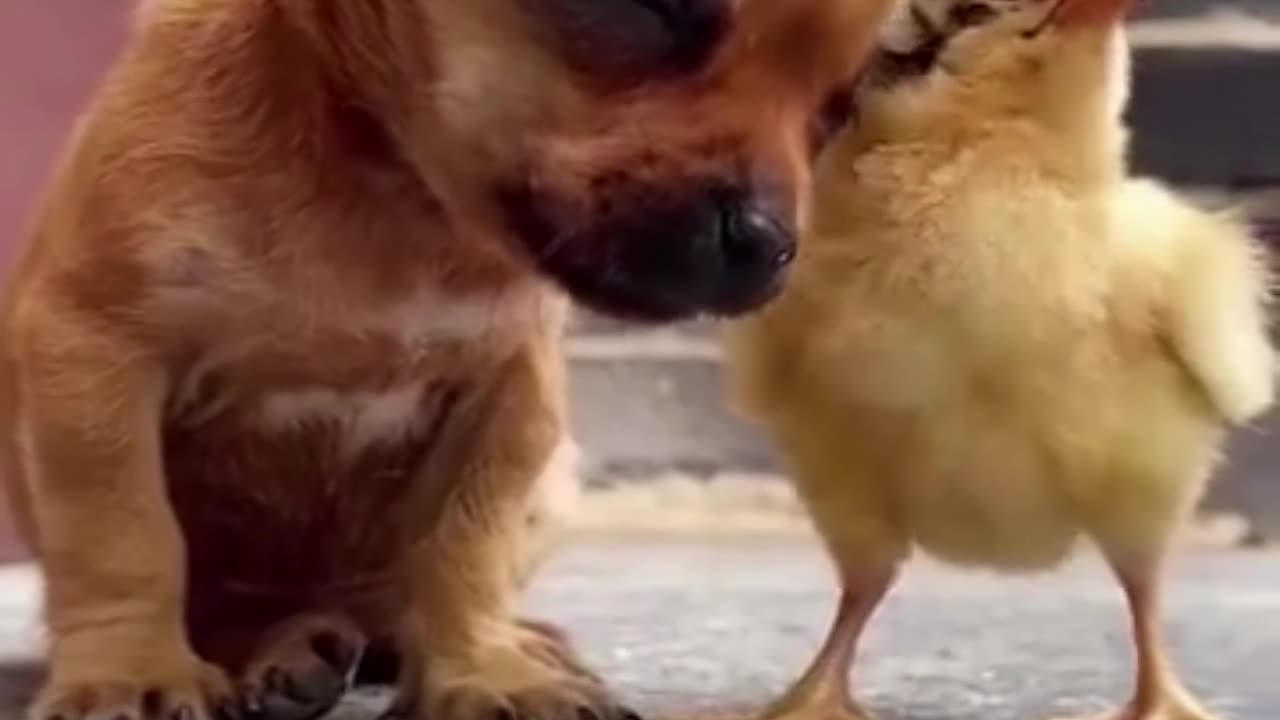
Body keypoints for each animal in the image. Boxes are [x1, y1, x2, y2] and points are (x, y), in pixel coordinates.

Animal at [2, 1, 901, 717]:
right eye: (653, 9)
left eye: (839, 103)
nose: (768, 243)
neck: (384, 176)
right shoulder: (100, 349)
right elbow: (126, 532)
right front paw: (131, 672)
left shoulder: (509, 395)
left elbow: (464, 544)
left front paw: (483, 670)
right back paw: (291, 649)